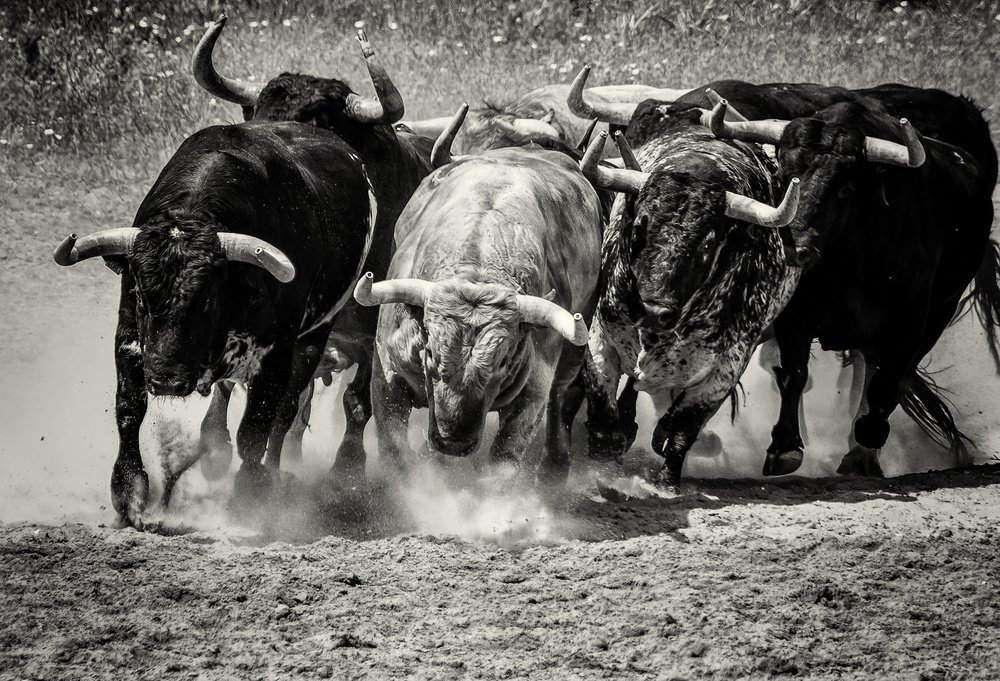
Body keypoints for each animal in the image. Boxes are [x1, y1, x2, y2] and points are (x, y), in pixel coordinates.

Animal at [190, 16, 435, 483]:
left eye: (315, 125)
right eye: (257, 115)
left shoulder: (369, 333)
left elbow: (356, 402)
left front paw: (347, 467)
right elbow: (238, 384)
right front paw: (213, 447)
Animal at [353, 110, 602, 487]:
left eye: (502, 362)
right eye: (430, 352)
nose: (453, 441)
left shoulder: (534, 390)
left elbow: (504, 459)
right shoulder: (386, 373)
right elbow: (394, 451)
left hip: (575, 346)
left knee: (561, 397)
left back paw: (555, 467)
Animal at [707, 99, 999, 477]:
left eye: (845, 189)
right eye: (784, 178)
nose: (795, 250)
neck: (849, 263)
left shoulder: (912, 320)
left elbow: (889, 384)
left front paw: (868, 435)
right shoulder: (794, 315)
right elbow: (794, 375)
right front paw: (784, 448)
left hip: (939, 313)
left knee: (888, 377)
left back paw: (863, 451)